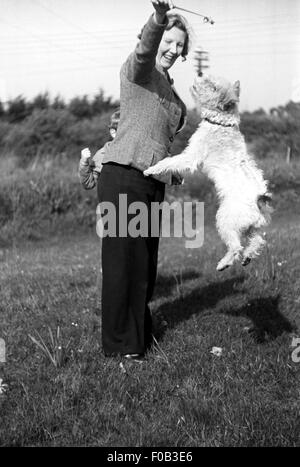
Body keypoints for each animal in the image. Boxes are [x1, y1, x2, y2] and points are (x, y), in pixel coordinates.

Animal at [144, 75, 274, 272]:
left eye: (213, 88)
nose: (199, 76)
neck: (222, 123)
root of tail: (260, 199)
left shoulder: (191, 156)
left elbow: (170, 162)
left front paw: (151, 169)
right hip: (252, 226)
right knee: (257, 241)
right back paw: (247, 258)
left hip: (226, 220)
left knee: (236, 246)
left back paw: (224, 263)